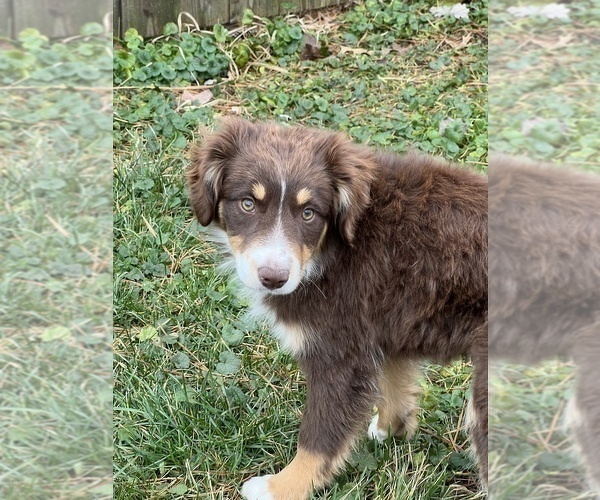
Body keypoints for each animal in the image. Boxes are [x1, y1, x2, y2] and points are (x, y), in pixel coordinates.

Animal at [188, 119, 488, 498]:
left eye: (308, 213)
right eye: (247, 204)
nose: (273, 279)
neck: (331, 250)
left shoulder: (338, 353)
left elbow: (319, 437)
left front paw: (281, 487)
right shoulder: (386, 328)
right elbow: (394, 382)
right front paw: (391, 428)